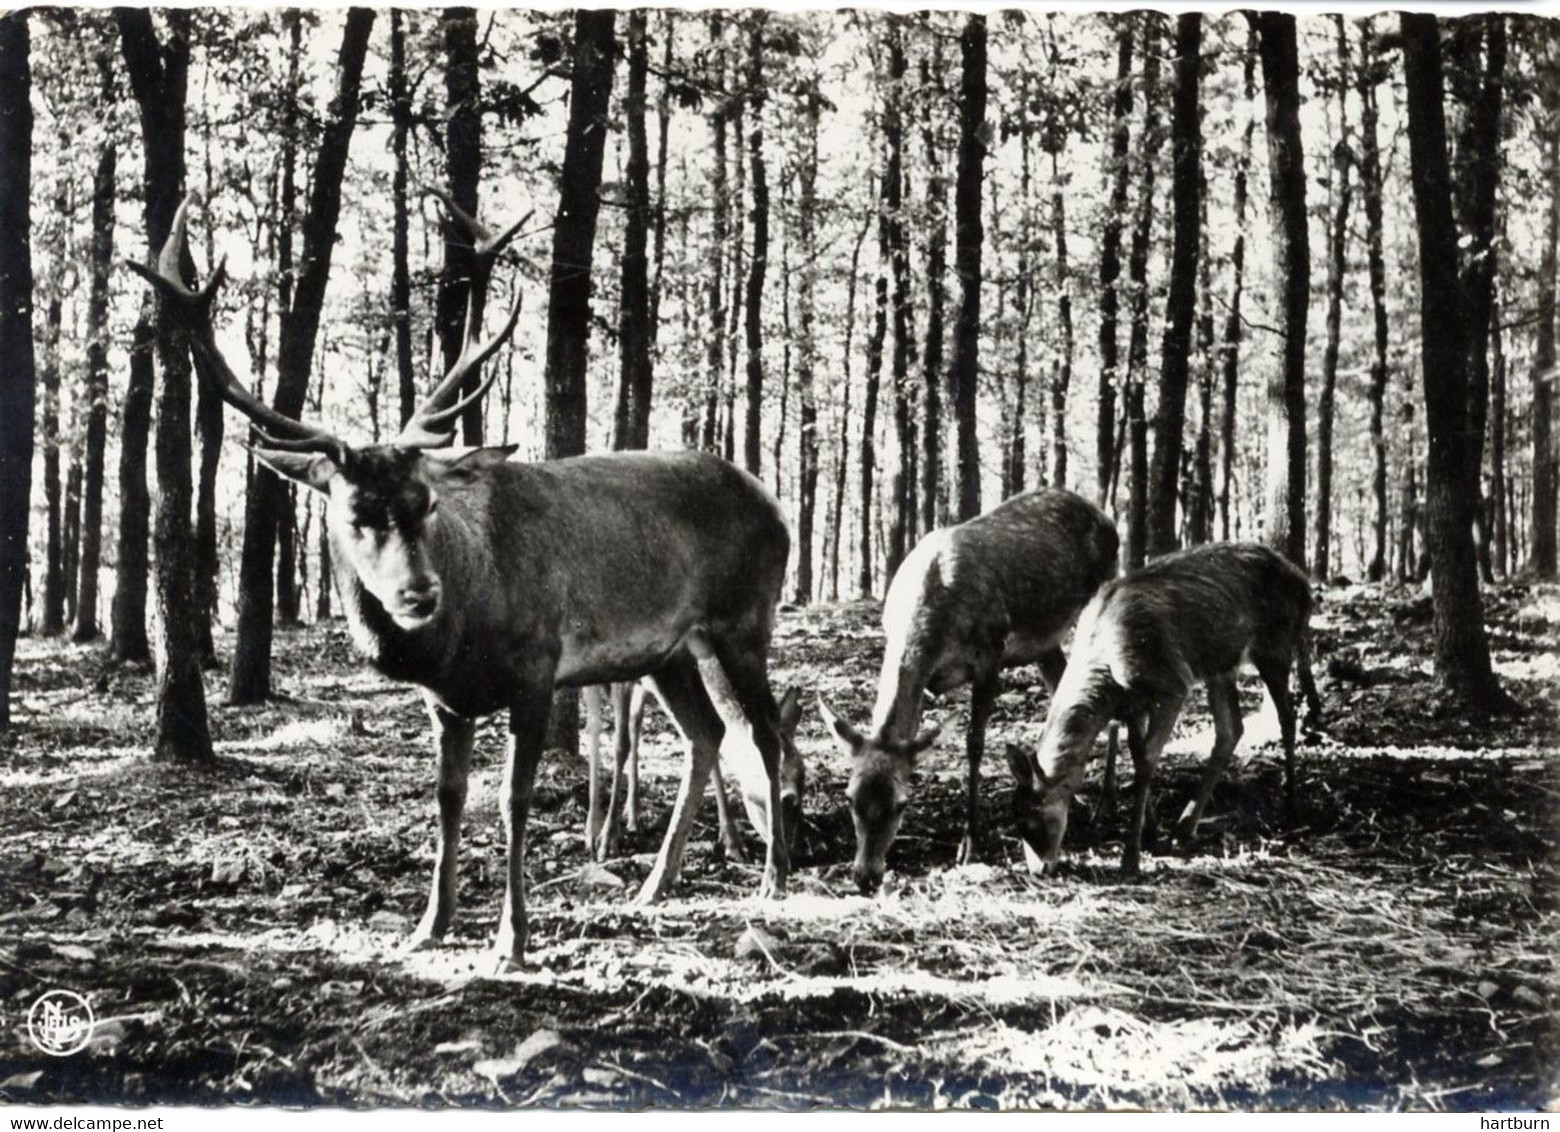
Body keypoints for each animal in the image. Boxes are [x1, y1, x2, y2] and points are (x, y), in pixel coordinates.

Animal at [134, 194, 804, 966]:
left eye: (425, 501)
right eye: (354, 512)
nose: (419, 594)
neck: (460, 637)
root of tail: (776, 506)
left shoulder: (538, 669)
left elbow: (513, 799)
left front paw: (512, 937)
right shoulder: (444, 703)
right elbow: (448, 798)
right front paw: (431, 922)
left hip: (743, 619)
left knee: (761, 731)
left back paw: (773, 877)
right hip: (671, 649)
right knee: (707, 734)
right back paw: (652, 885)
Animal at [817, 486, 1123, 898]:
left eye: (901, 803)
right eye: (849, 798)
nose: (866, 876)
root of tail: (1107, 518)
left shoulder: (990, 654)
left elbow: (974, 743)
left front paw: (970, 844)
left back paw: (1107, 800)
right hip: (1044, 643)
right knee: (1061, 687)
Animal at [1010, 539, 1316, 879]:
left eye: (1030, 820)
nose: (1038, 870)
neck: (1108, 668)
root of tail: (1305, 584)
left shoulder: (1172, 682)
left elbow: (1146, 760)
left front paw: (1131, 855)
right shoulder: (1133, 703)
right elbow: (1135, 749)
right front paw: (1152, 831)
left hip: (1275, 645)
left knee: (1287, 717)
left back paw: (1291, 808)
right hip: (1220, 665)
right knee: (1231, 729)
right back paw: (1184, 827)